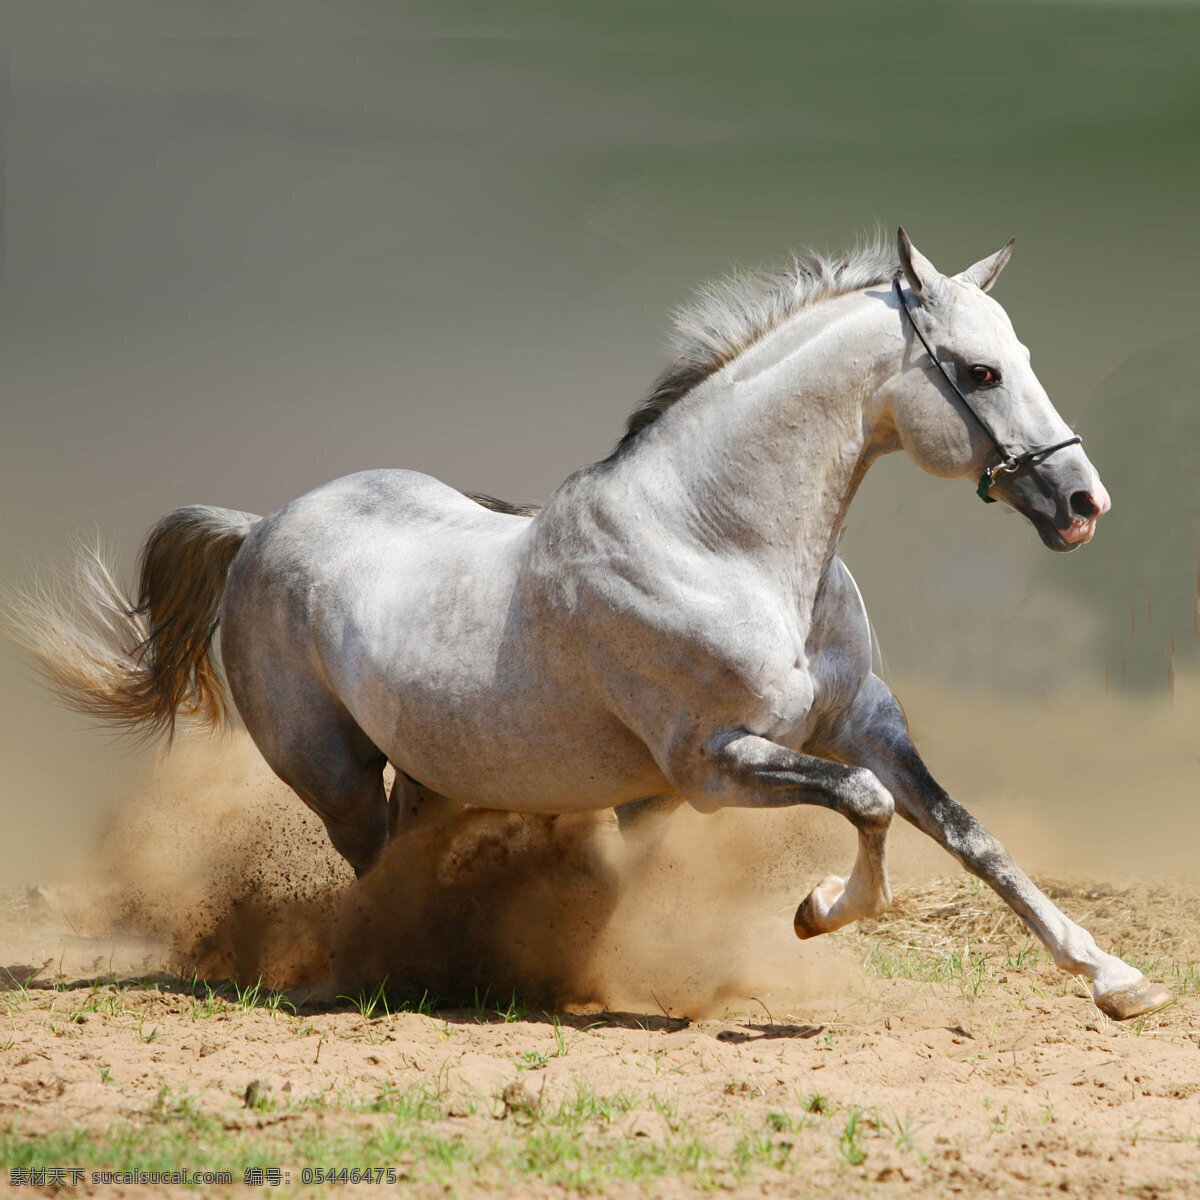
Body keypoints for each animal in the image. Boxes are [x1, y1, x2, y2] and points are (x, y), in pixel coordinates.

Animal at [14, 226, 1166, 1022]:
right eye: (978, 371)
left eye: (1021, 354)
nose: (1083, 503)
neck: (720, 543)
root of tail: (260, 528)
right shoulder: (711, 766)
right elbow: (870, 806)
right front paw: (816, 911)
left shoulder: (863, 722)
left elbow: (972, 838)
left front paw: (1117, 979)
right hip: (333, 773)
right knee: (373, 871)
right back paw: (390, 971)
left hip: (435, 771)